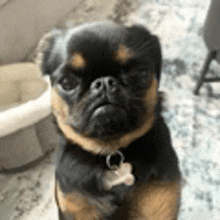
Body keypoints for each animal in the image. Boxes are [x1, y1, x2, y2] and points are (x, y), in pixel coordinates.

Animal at [36, 21, 181, 220]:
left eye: (138, 75)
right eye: (68, 83)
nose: (104, 82)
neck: (111, 152)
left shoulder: (158, 204)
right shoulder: (75, 210)